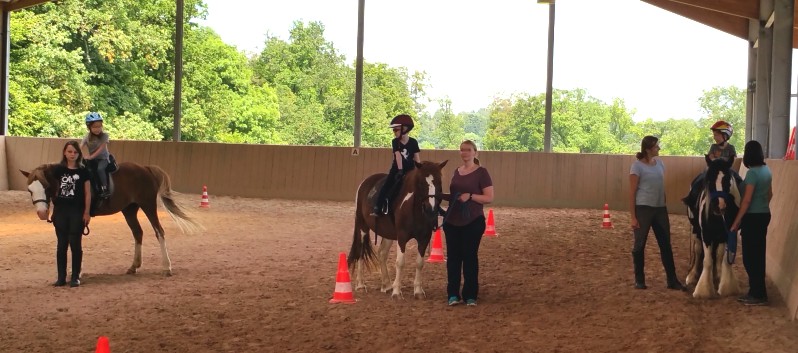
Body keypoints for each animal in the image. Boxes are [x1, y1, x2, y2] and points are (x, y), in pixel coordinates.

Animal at [21, 162, 205, 276]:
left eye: (45, 187)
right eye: (30, 190)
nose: (41, 213)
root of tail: (145, 168)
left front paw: (76, 272)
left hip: (148, 205)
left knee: (159, 231)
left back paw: (167, 267)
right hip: (129, 210)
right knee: (138, 233)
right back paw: (134, 266)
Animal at [350, 161, 450, 298]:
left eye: (439, 183)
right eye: (421, 183)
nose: (430, 208)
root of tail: (366, 181)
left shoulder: (424, 238)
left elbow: (419, 263)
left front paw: (418, 291)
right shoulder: (402, 237)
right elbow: (400, 262)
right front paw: (397, 291)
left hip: (388, 233)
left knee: (382, 253)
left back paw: (386, 285)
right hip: (362, 226)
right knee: (361, 251)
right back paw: (360, 285)